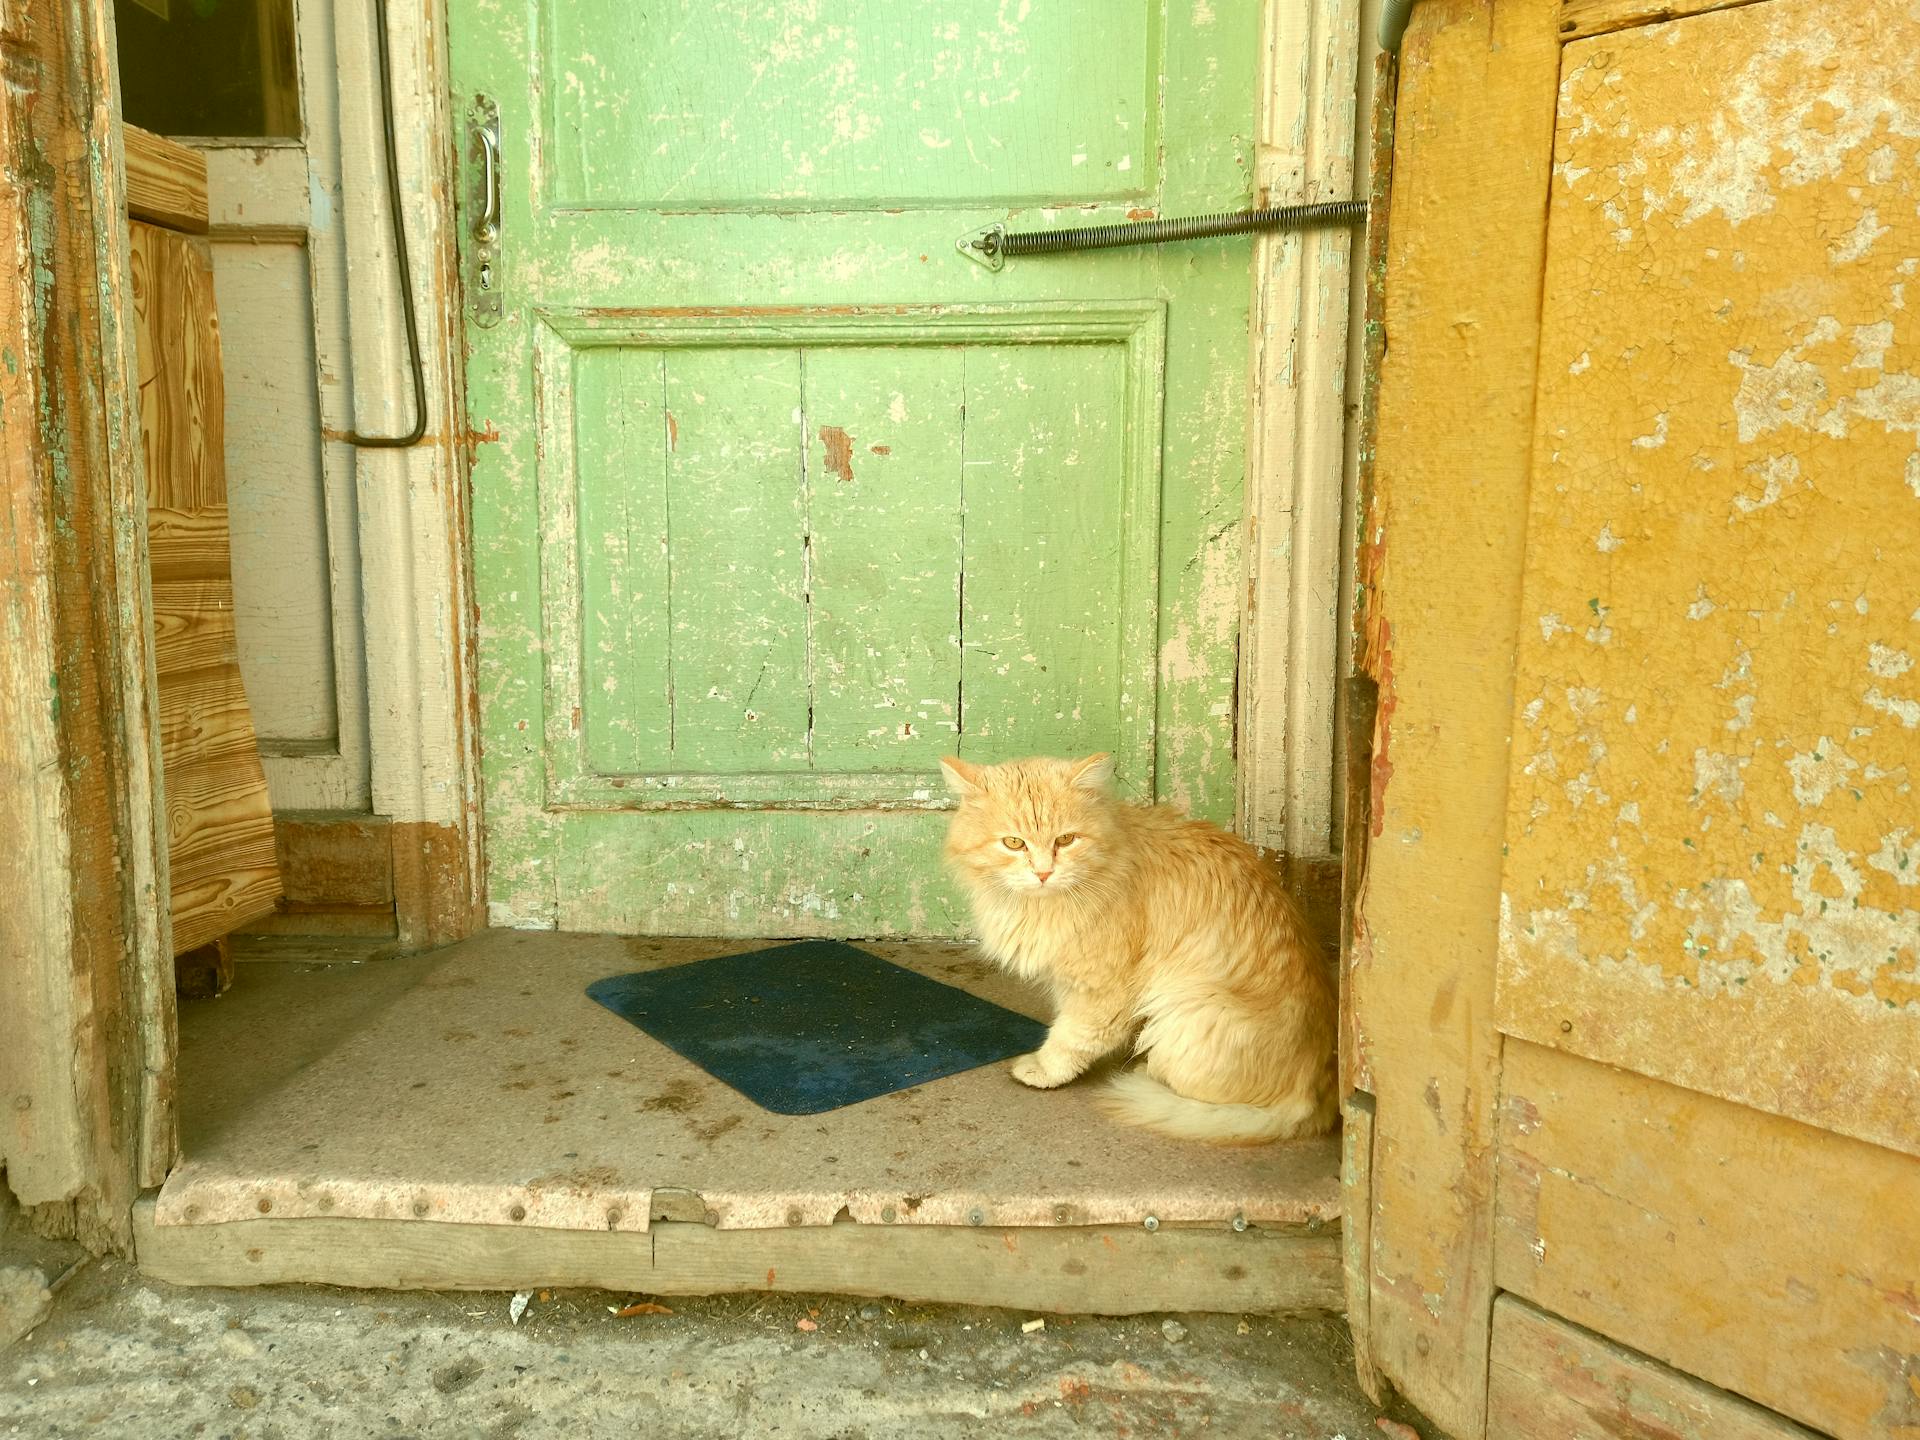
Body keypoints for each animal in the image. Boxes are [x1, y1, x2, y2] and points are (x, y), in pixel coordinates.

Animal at [940, 756, 1336, 1152]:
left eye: (1065, 840)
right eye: (1013, 843)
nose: (1043, 873)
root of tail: (1316, 1092)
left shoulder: (1102, 988)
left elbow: (1073, 1036)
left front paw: (1045, 1069)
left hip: (1184, 1009)